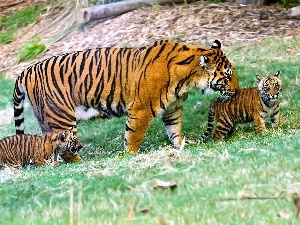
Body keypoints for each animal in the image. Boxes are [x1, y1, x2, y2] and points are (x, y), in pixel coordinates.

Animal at [14, 39, 239, 155]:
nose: (236, 90)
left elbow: (175, 129)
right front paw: (129, 155)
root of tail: (27, 70)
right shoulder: (141, 110)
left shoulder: (172, 108)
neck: (187, 79)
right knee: (64, 147)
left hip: (46, 119)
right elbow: (133, 135)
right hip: (61, 118)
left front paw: (181, 145)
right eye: (228, 76)